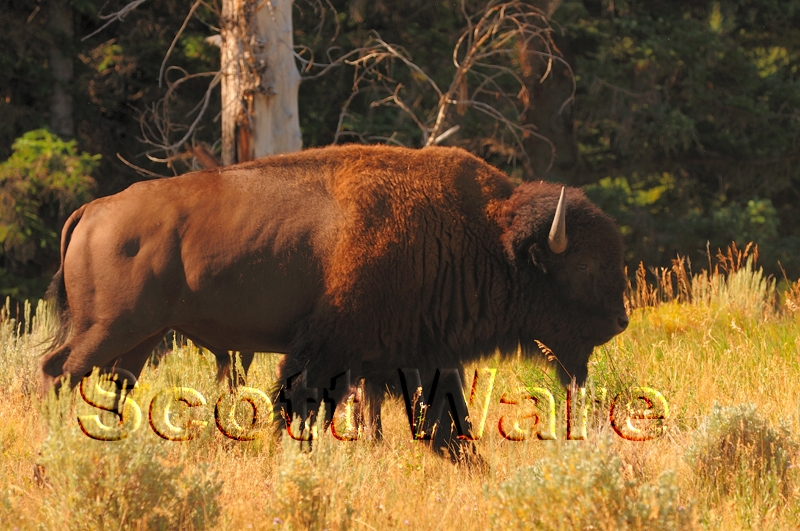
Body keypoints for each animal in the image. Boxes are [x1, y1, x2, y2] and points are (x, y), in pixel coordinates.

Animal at [40, 144, 628, 460]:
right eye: (584, 267)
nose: (620, 322)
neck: (484, 232)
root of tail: (93, 209)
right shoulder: (326, 352)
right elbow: (299, 407)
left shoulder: (413, 357)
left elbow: (441, 422)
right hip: (109, 328)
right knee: (57, 371)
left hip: (139, 339)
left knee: (108, 386)